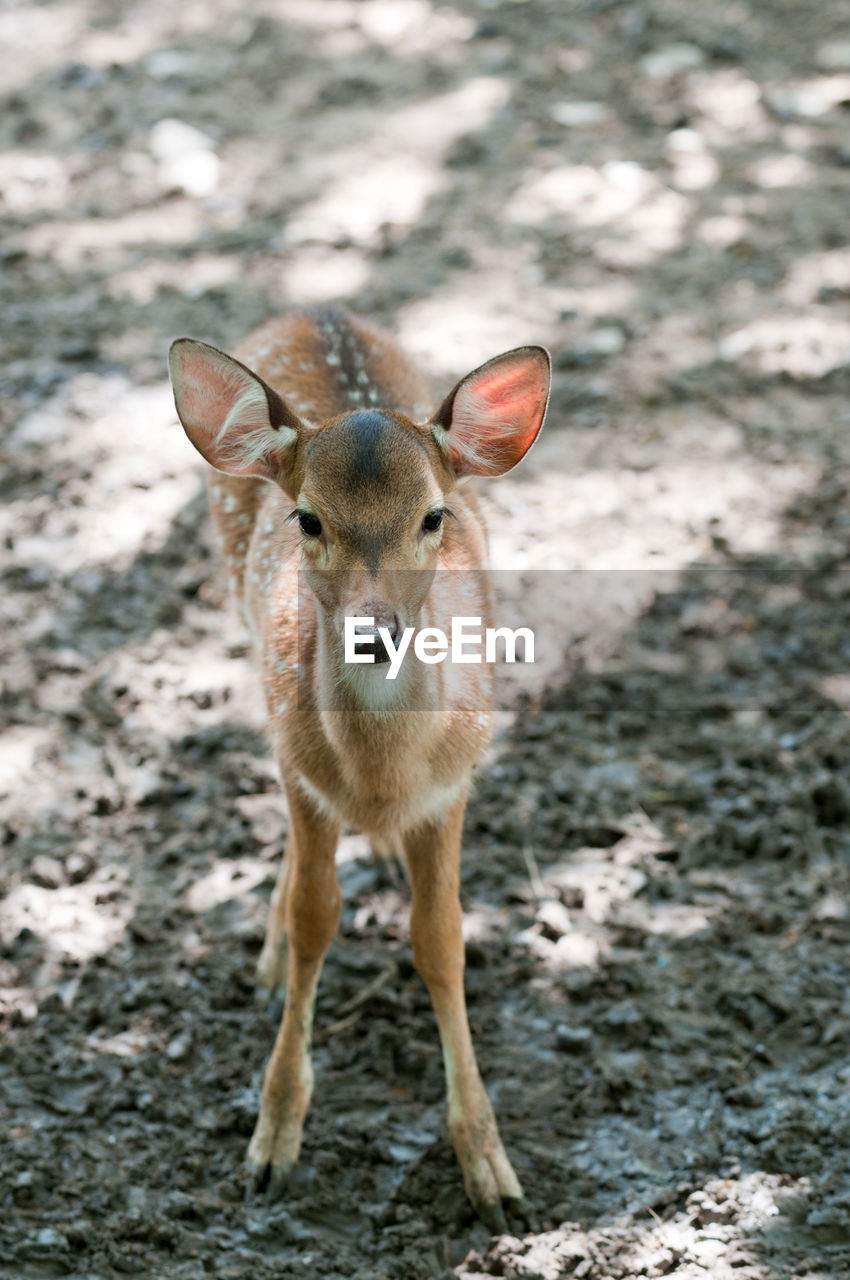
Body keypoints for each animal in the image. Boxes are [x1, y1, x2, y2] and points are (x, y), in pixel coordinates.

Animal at [167, 299, 550, 1228]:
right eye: (309, 518)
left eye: (433, 517)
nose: (374, 634)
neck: (385, 776)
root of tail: (318, 308)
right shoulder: (301, 773)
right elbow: (316, 917)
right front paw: (271, 1143)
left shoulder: (455, 783)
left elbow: (441, 939)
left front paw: (492, 1172)